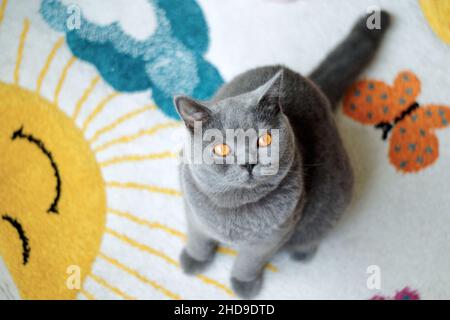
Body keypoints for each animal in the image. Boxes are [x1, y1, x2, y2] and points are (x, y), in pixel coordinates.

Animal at [174, 11, 388, 298]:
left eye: (264, 140)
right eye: (221, 148)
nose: (249, 163)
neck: (236, 211)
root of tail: (309, 80)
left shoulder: (273, 236)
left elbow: (249, 260)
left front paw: (243, 284)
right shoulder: (191, 208)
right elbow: (198, 237)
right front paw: (194, 259)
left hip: (334, 197)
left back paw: (303, 252)